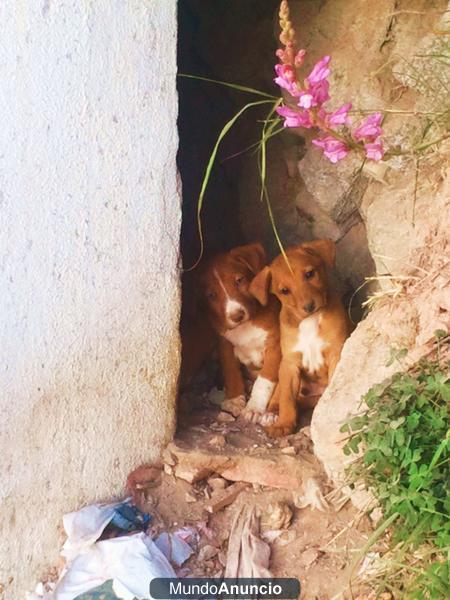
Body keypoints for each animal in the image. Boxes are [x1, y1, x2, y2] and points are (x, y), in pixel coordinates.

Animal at [201, 244, 282, 422]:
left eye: (239, 281)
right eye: (211, 295)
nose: (236, 316)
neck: (245, 327)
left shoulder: (275, 346)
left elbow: (264, 381)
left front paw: (255, 408)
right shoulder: (225, 345)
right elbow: (231, 372)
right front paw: (234, 399)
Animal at [251, 239, 350, 436]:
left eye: (310, 274)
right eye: (284, 290)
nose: (309, 306)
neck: (310, 321)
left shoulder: (336, 353)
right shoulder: (290, 363)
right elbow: (287, 398)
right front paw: (283, 423)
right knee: (280, 394)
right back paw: (272, 413)